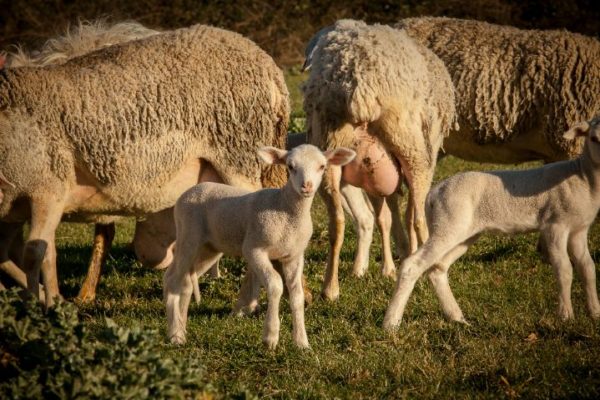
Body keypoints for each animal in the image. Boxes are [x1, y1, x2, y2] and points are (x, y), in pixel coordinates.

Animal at [0, 23, 288, 308]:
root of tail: (270, 68)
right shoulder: (17, 206)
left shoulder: (47, 189)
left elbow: (37, 251)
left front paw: (50, 302)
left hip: (240, 156)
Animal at [163, 144, 356, 346]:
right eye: (290, 166)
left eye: (322, 166)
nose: (307, 186)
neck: (285, 208)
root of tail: (190, 191)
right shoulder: (254, 249)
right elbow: (275, 285)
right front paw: (270, 336)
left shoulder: (294, 256)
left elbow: (297, 295)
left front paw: (302, 342)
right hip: (188, 235)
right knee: (172, 279)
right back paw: (175, 334)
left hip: (208, 249)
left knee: (185, 283)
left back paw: (182, 329)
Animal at [302, 18, 458, 300]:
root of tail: (360, 79)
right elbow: (405, 217)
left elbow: (388, 217)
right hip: (413, 151)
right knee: (419, 220)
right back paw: (427, 274)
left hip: (330, 146)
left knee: (337, 222)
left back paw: (330, 288)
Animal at [382, 115, 600, 328]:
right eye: (593, 138)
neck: (583, 176)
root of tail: (432, 195)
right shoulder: (555, 225)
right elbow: (564, 269)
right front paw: (566, 316)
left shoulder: (578, 230)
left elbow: (587, 267)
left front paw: (595, 313)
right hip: (448, 226)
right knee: (412, 265)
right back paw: (391, 323)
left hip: (462, 232)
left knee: (438, 268)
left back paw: (457, 318)